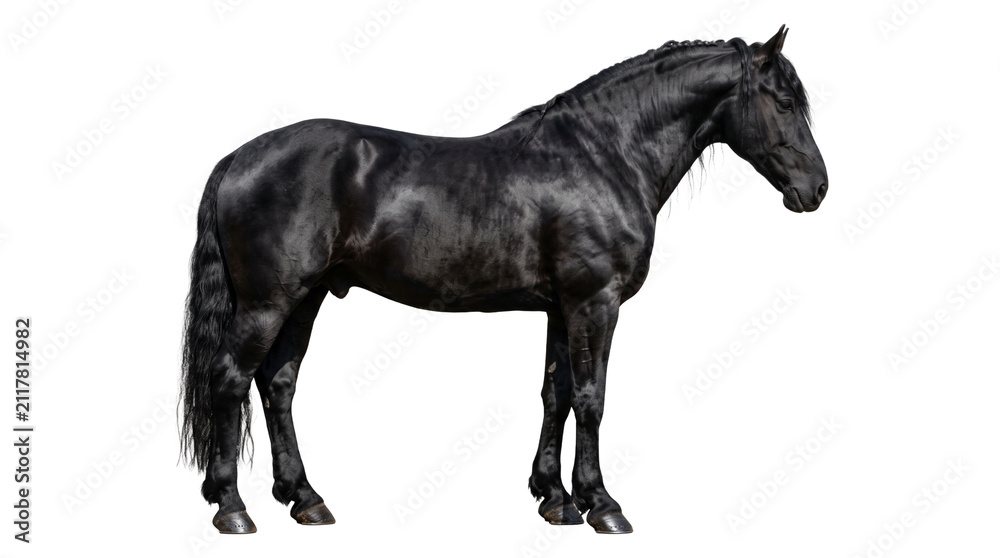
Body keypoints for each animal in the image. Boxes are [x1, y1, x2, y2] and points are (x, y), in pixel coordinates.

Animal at [180, 25, 827, 535]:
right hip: (268, 301)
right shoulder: (596, 303)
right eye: (784, 101)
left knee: (278, 384)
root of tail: (239, 157)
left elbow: (556, 395)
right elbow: (592, 397)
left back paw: (305, 499)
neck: (603, 156)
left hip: (305, 298)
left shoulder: (562, 308)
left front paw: (555, 499)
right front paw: (602, 505)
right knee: (231, 379)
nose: (816, 189)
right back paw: (232, 508)